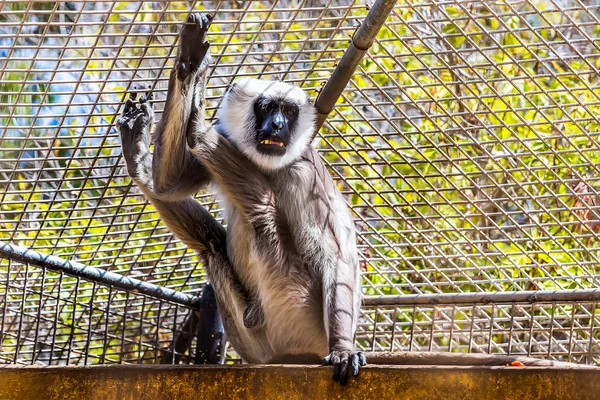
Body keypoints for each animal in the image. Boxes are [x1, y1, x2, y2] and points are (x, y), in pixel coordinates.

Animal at [115, 14, 364, 386]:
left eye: (288, 112)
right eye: (268, 108)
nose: (278, 125)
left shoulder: (304, 171)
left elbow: (335, 257)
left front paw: (344, 349)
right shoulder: (232, 139)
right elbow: (169, 185)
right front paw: (189, 66)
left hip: (297, 309)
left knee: (262, 210)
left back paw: (197, 129)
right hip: (251, 332)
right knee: (210, 243)